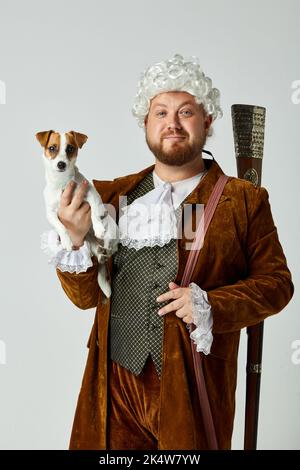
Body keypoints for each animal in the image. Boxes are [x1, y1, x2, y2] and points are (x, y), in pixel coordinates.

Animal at [36, 129, 118, 298]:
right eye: (52, 148)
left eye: (70, 149)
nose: (61, 164)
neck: (62, 183)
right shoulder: (51, 214)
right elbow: (61, 226)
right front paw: (66, 241)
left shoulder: (91, 196)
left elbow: (94, 213)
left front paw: (98, 227)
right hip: (88, 242)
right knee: (97, 253)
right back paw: (100, 255)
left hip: (111, 231)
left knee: (110, 247)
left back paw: (105, 247)